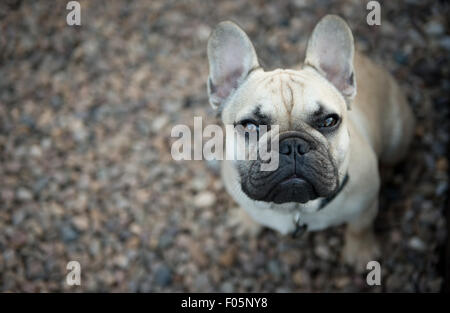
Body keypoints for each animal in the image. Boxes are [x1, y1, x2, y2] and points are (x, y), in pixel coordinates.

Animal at [206, 15, 414, 268]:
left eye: (329, 121)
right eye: (249, 125)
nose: (292, 146)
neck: (295, 209)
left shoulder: (365, 205)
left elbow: (359, 228)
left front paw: (360, 251)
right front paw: (246, 222)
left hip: (397, 140)